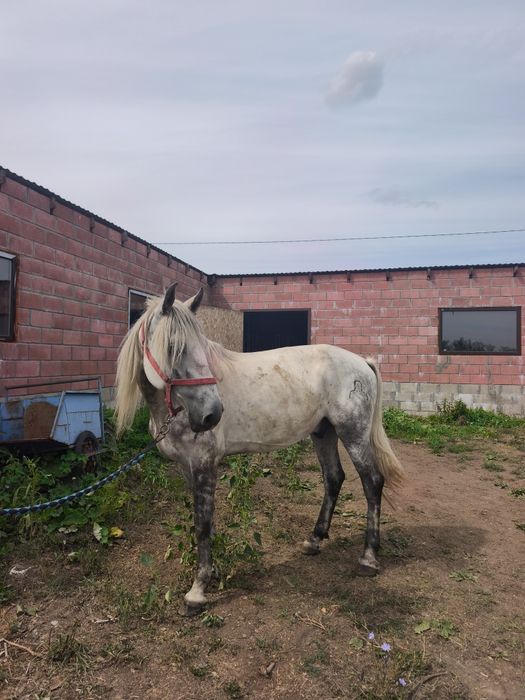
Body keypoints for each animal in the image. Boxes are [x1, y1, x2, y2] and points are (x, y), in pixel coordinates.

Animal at [115, 283, 404, 613]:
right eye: (174, 347)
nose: (212, 415)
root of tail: (361, 362)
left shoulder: (204, 464)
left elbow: (202, 524)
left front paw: (197, 591)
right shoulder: (189, 468)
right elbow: (205, 521)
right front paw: (213, 571)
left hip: (353, 433)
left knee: (372, 482)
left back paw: (368, 557)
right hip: (324, 432)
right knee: (334, 478)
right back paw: (314, 540)